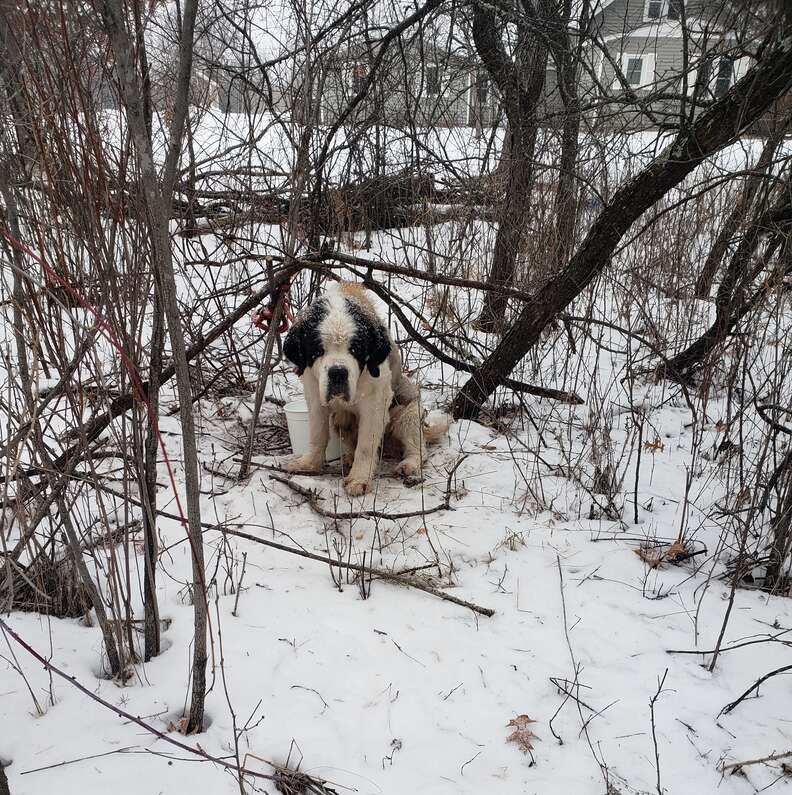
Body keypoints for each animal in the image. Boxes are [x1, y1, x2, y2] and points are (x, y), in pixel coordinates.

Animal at [284, 282, 446, 494]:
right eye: (318, 350)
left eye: (355, 349)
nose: (338, 372)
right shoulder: (314, 394)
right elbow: (317, 433)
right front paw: (309, 464)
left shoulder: (375, 403)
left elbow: (366, 444)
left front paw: (358, 479)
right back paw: (349, 457)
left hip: (408, 411)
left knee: (417, 446)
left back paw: (408, 464)